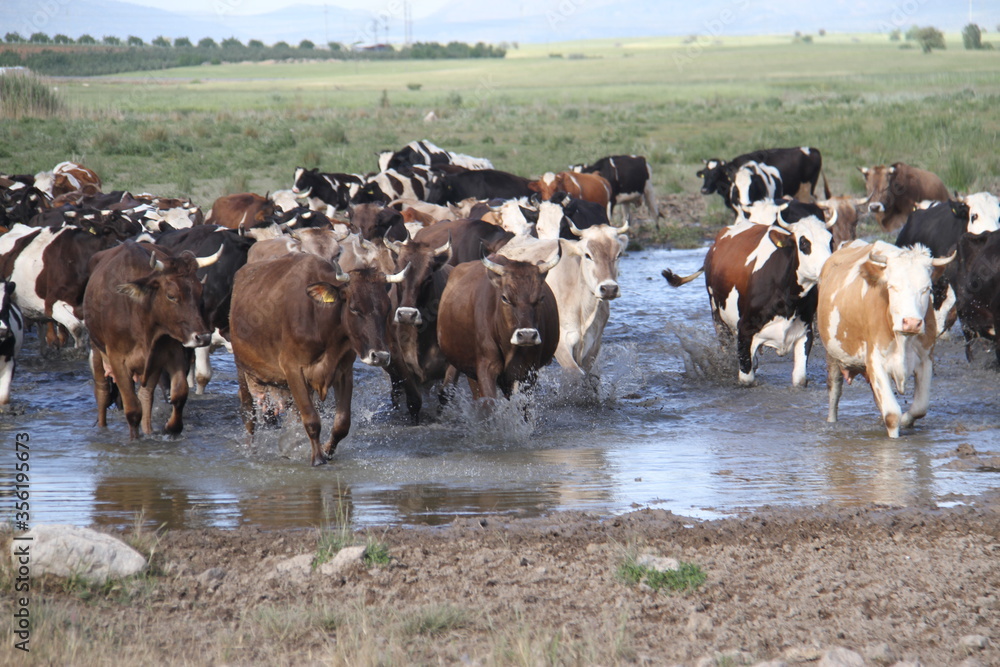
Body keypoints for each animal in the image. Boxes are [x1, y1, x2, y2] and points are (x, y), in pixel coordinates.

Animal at [84, 242, 220, 438]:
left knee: (146, 395)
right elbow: (132, 410)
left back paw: (148, 431)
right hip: (97, 350)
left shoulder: (169, 353)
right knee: (102, 393)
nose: (203, 337)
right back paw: (103, 429)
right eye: (171, 295)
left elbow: (179, 394)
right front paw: (135, 440)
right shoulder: (118, 360)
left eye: (200, 293)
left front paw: (171, 427)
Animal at [230, 253, 407, 466]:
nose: (380, 356)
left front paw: (327, 451)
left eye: (387, 308)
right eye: (354, 308)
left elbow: (342, 423)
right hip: (241, 367)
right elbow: (312, 419)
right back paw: (251, 450)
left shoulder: (344, 371)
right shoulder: (293, 369)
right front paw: (318, 459)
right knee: (248, 413)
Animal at [500, 221, 628, 380]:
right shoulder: (562, 342)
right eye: (587, 255)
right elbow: (575, 373)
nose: (609, 288)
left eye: (619, 254)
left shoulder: (594, 343)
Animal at [662, 211, 836, 387]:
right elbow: (746, 378)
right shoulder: (745, 331)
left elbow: (799, 379)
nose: (829, 266)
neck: (788, 300)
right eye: (804, 242)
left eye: (831, 241)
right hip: (718, 318)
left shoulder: (805, 332)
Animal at [818, 241, 954, 437]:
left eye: (926, 289)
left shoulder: (925, 360)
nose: (911, 323)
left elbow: (919, 408)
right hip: (833, 355)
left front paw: (906, 421)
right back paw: (831, 421)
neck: (903, 340)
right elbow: (892, 415)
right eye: (892, 287)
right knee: (834, 390)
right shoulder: (876, 361)